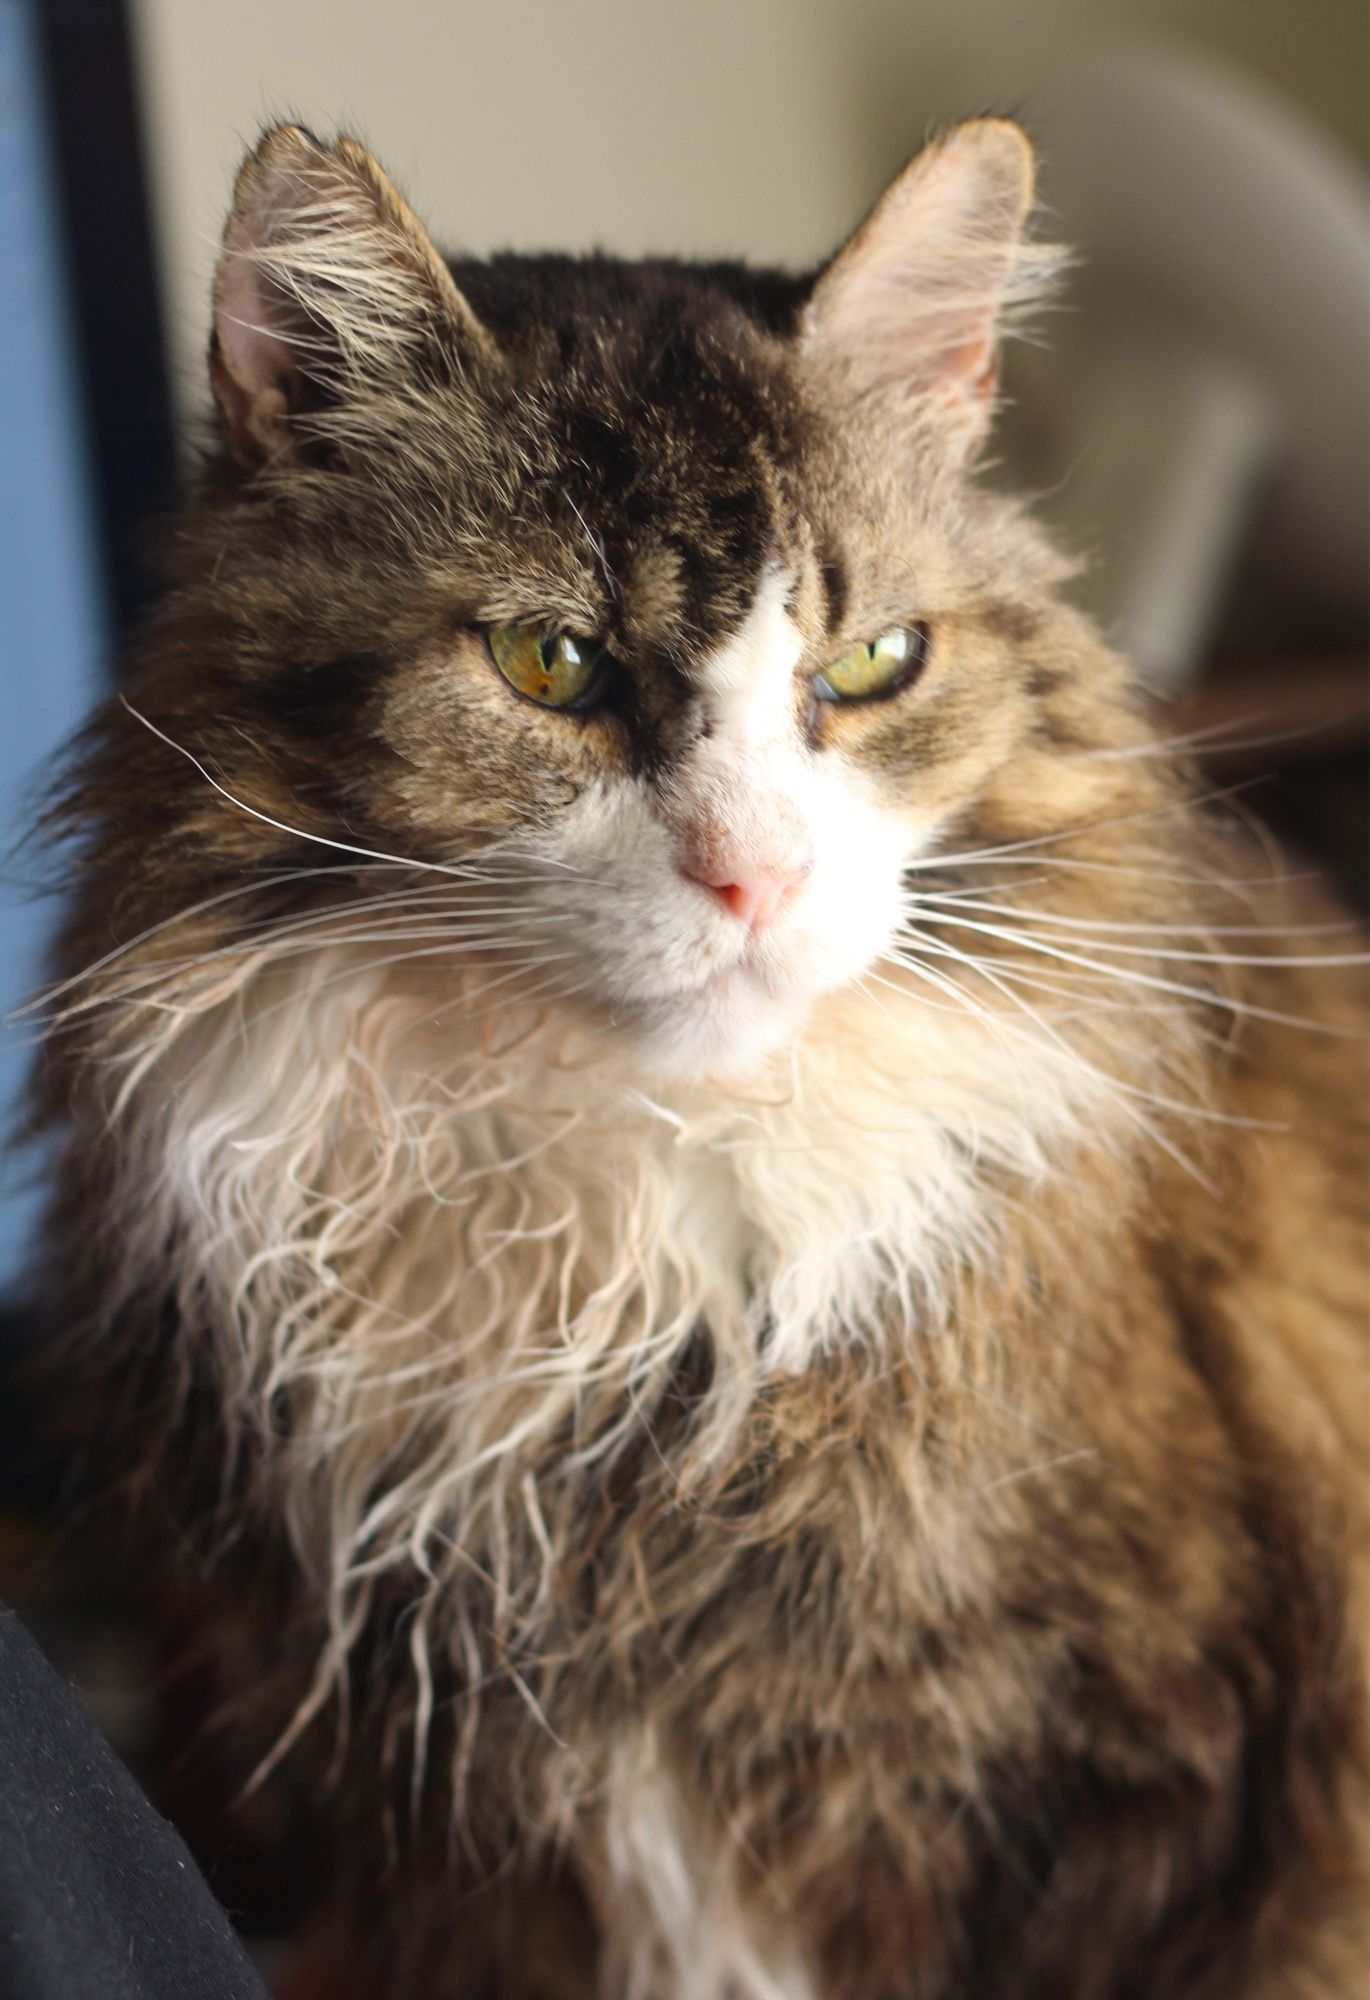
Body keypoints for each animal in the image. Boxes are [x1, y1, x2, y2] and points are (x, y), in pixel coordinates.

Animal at [34, 117, 1368, 1992]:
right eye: (550, 662)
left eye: (872, 662)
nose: (757, 878)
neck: (628, 1262)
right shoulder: (454, 1844)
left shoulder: (1134, 1807)